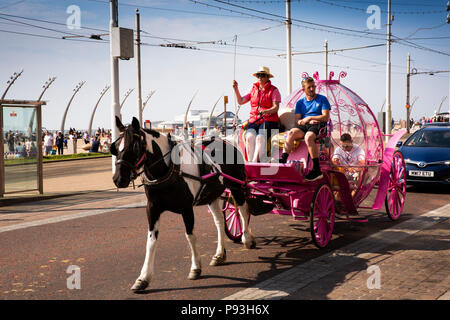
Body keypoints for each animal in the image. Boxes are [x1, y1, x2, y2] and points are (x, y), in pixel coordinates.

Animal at [111, 117, 255, 292]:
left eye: (135, 146)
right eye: (115, 146)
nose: (118, 179)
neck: (170, 169)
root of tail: (228, 141)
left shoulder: (186, 208)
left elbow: (190, 236)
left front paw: (195, 268)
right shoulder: (152, 209)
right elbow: (151, 241)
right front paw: (143, 278)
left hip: (236, 187)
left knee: (242, 210)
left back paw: (246, 238)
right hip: (211, 195)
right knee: (220, 221)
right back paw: (220, 254)